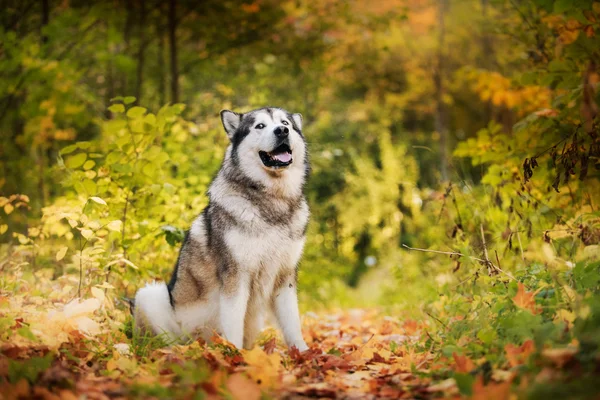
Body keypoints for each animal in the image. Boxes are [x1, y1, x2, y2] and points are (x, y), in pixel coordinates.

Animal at [132, 106, 310, 350]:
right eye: (260, 126)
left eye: (286, 123)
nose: (282, 131)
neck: (273, 201)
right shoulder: (236, 276)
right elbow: (233, 323)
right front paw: (233, 353)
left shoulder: (285, 277)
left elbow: (293, 323)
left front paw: (304, 353)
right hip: (151, 296)